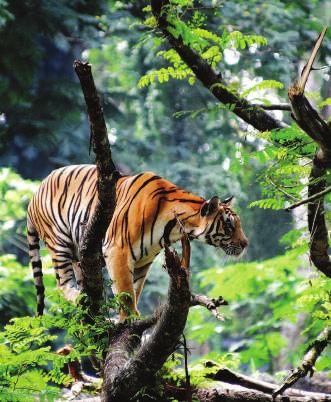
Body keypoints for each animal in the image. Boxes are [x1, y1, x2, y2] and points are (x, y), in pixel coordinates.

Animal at [26, 165, 249, 318]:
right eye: (229, 225)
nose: (245, 244)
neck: (174, 228)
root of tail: (34, 193)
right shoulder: (118, 250)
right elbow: (125, 291)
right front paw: (129, 319)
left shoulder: (143, 260)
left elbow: (135, 288)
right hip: (59, 242)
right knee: (61, 283)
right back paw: (81, 298)